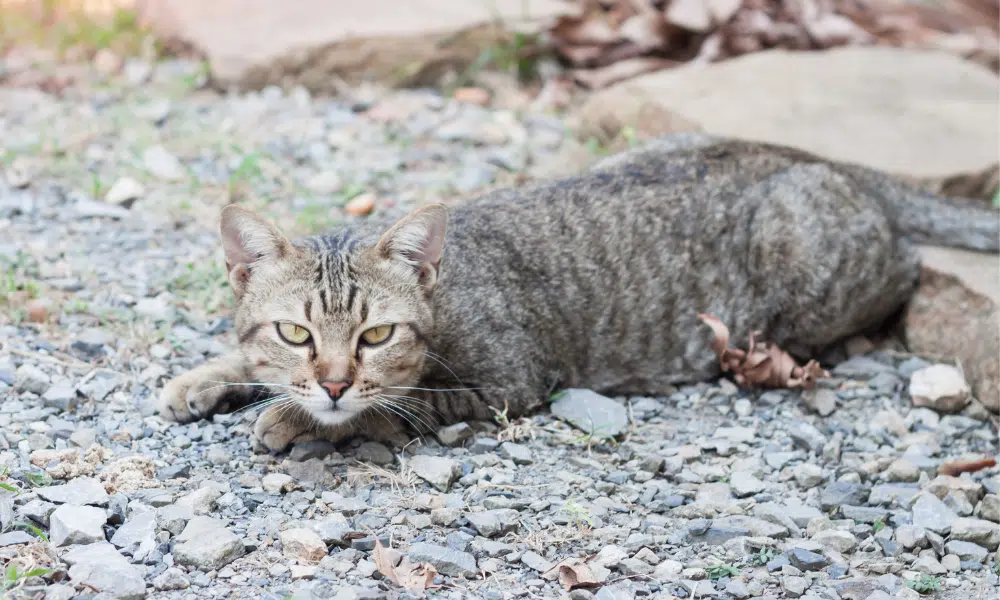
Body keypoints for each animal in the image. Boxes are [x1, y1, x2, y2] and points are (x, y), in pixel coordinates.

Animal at [158, 132, 1000, 450]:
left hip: (807, 267)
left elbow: (394, 406)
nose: (333, 381)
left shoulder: (507, 383)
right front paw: (206, 378)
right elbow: (246, 359)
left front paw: (298, 419)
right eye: (296, 333)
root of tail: (824, 159)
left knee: (905, 272)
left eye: (376, 336)